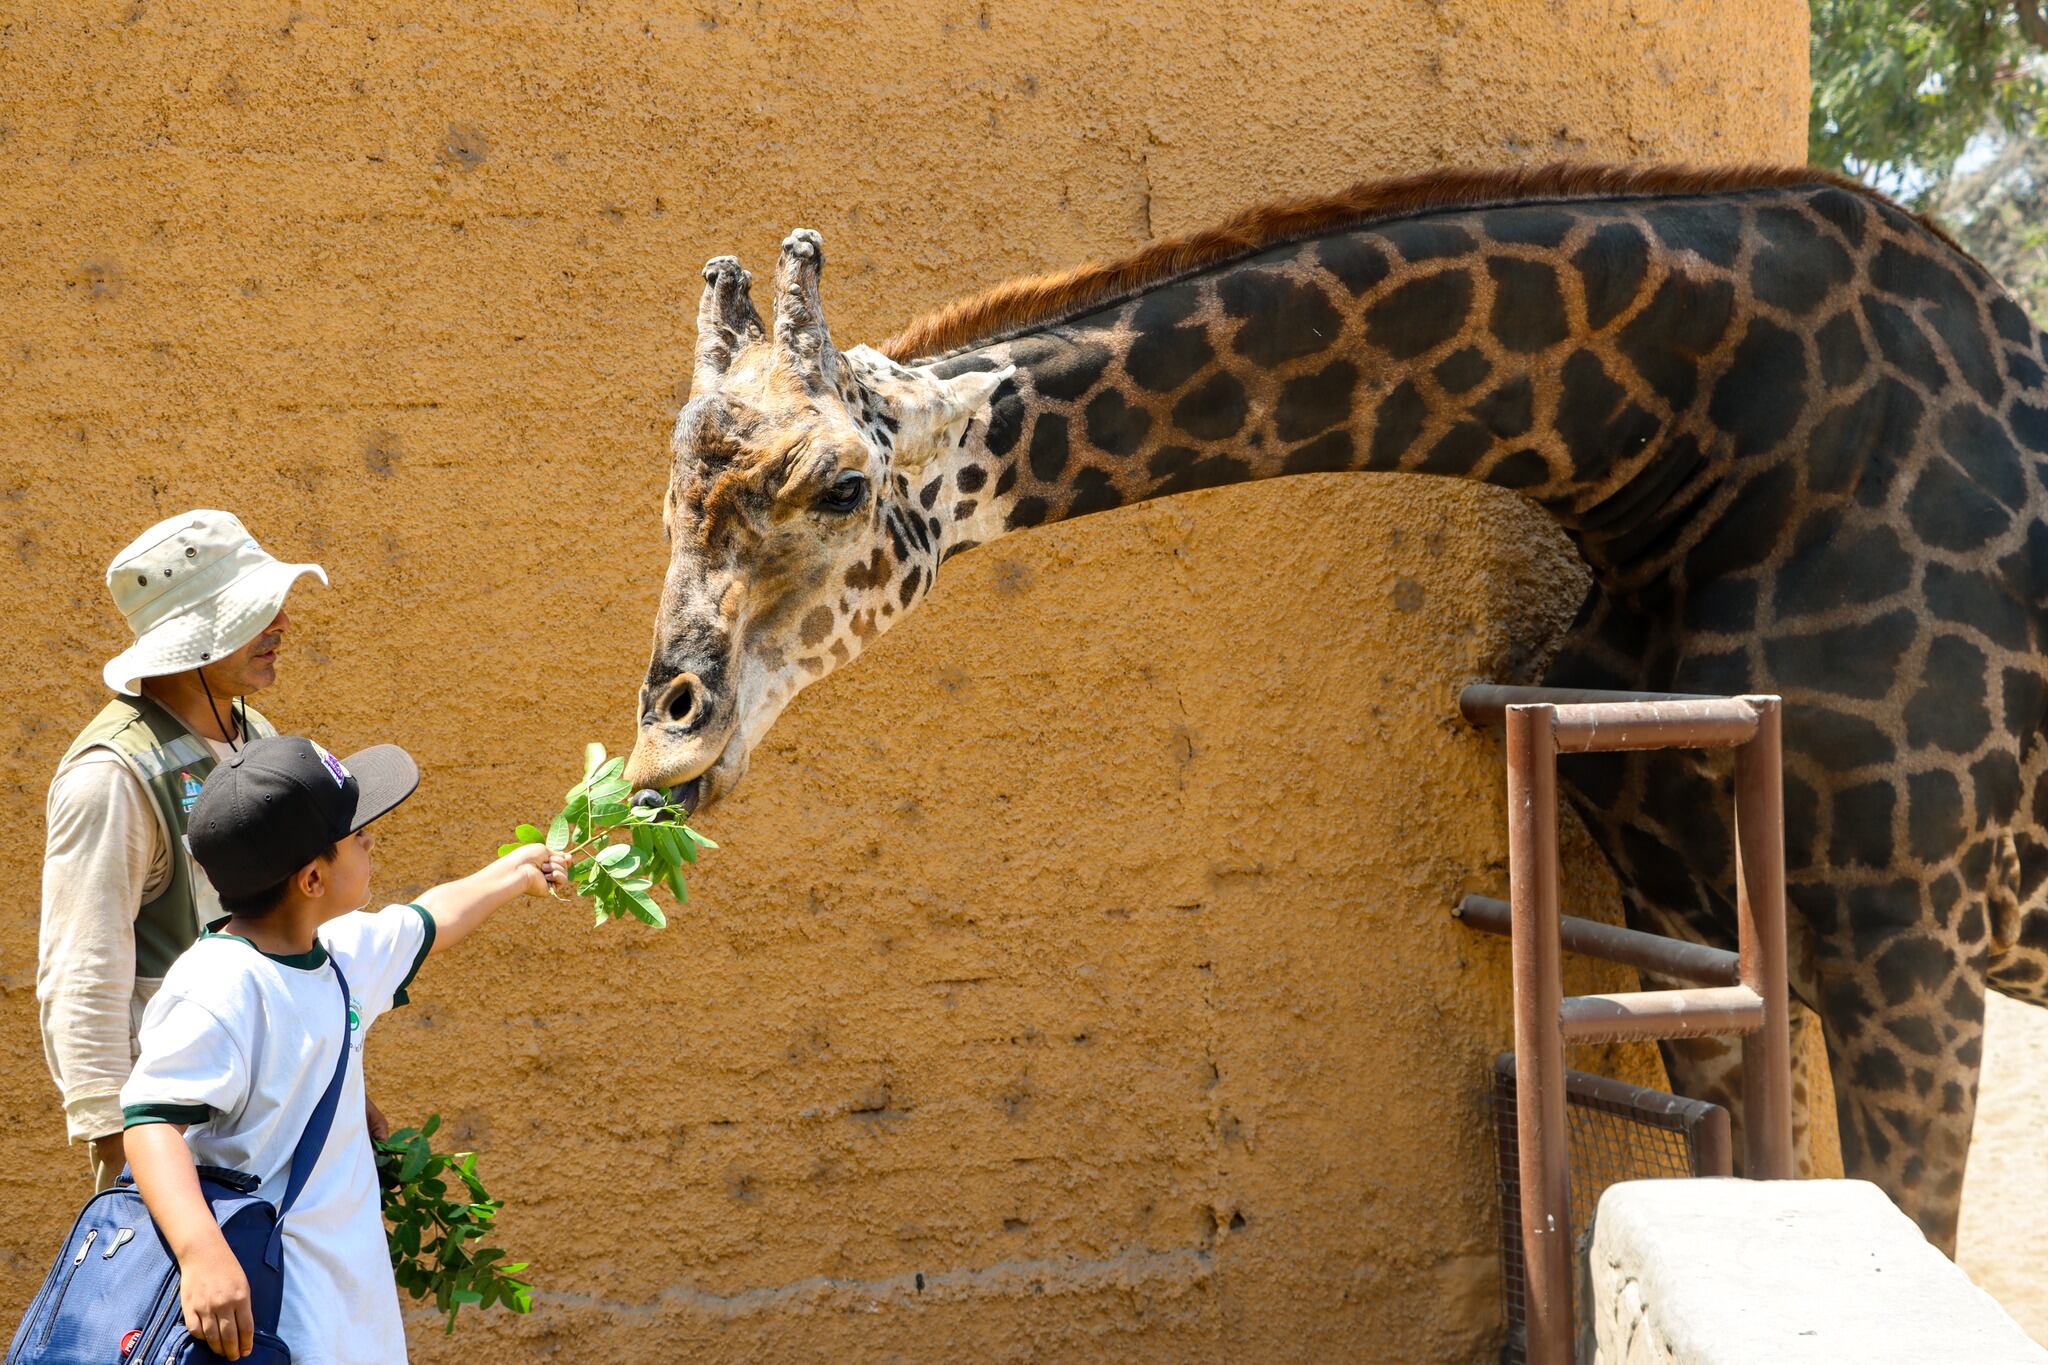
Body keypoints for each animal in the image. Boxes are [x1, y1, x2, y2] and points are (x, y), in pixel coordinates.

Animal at [618, 162, 2048, 1260]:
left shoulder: (1912, 938)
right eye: (670, 496)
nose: (660, 745)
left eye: (840, 485)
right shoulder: (1686, 915)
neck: (1698, 455)